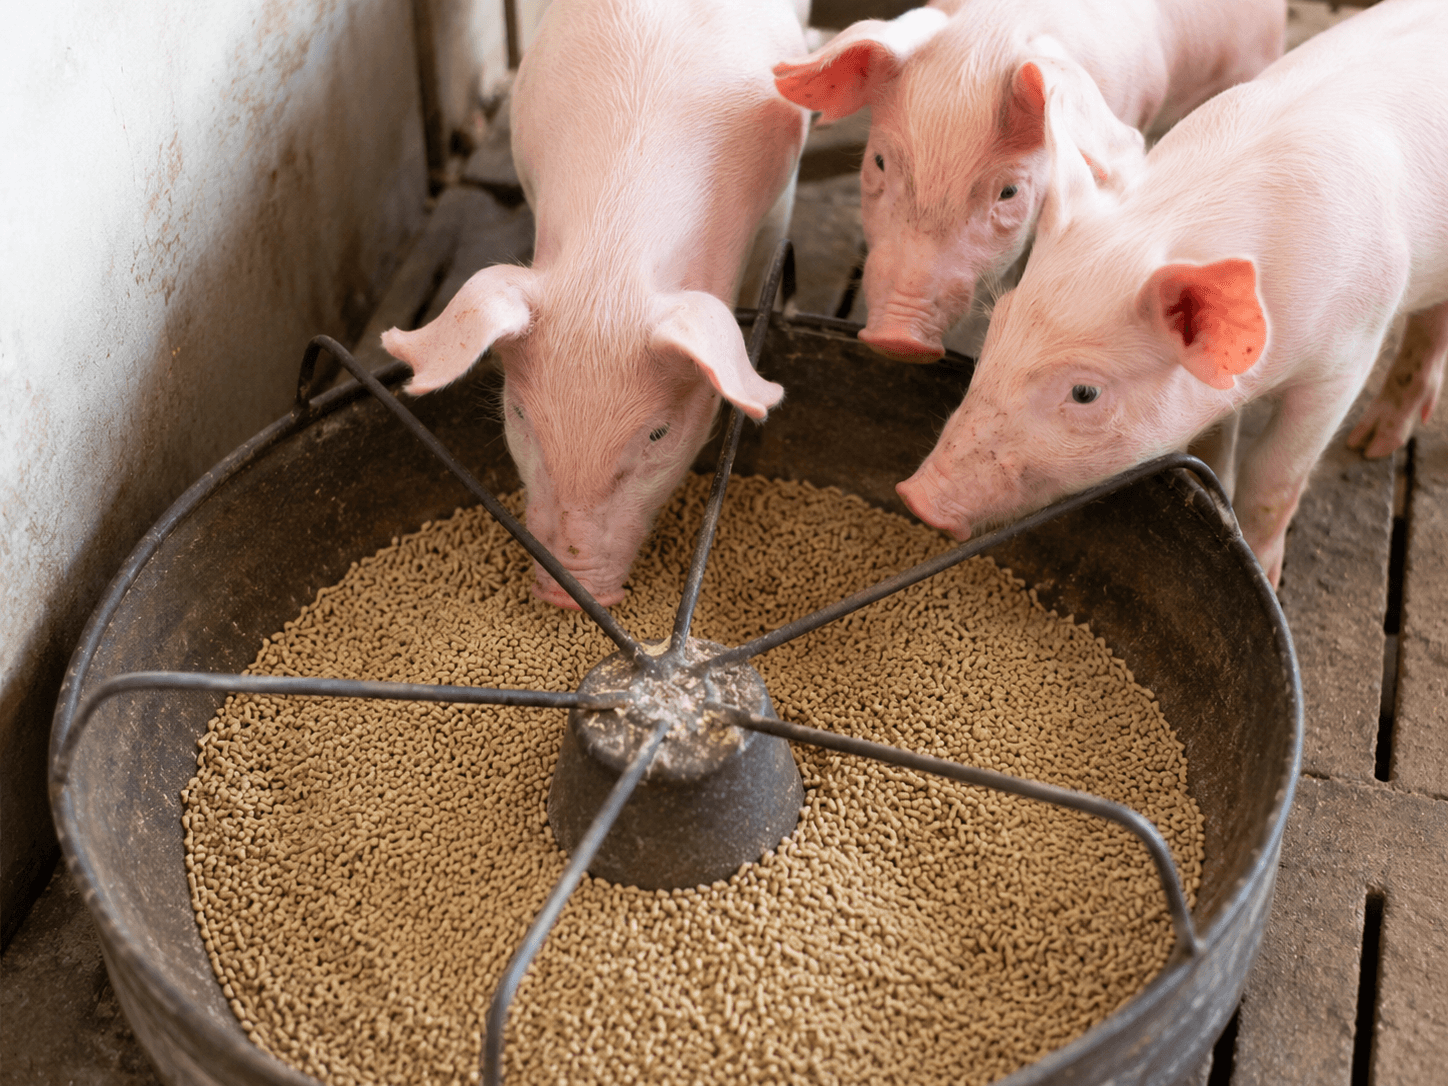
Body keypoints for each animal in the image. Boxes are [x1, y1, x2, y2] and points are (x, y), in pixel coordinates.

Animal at [896, 0, 1448, 587]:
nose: (916, 497)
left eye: (1085, 393)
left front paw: (1266, 573)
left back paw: (1369, 446)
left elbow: (1274, 476)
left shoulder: (1347, 358)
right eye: (996, 328)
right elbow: (1213, 447)